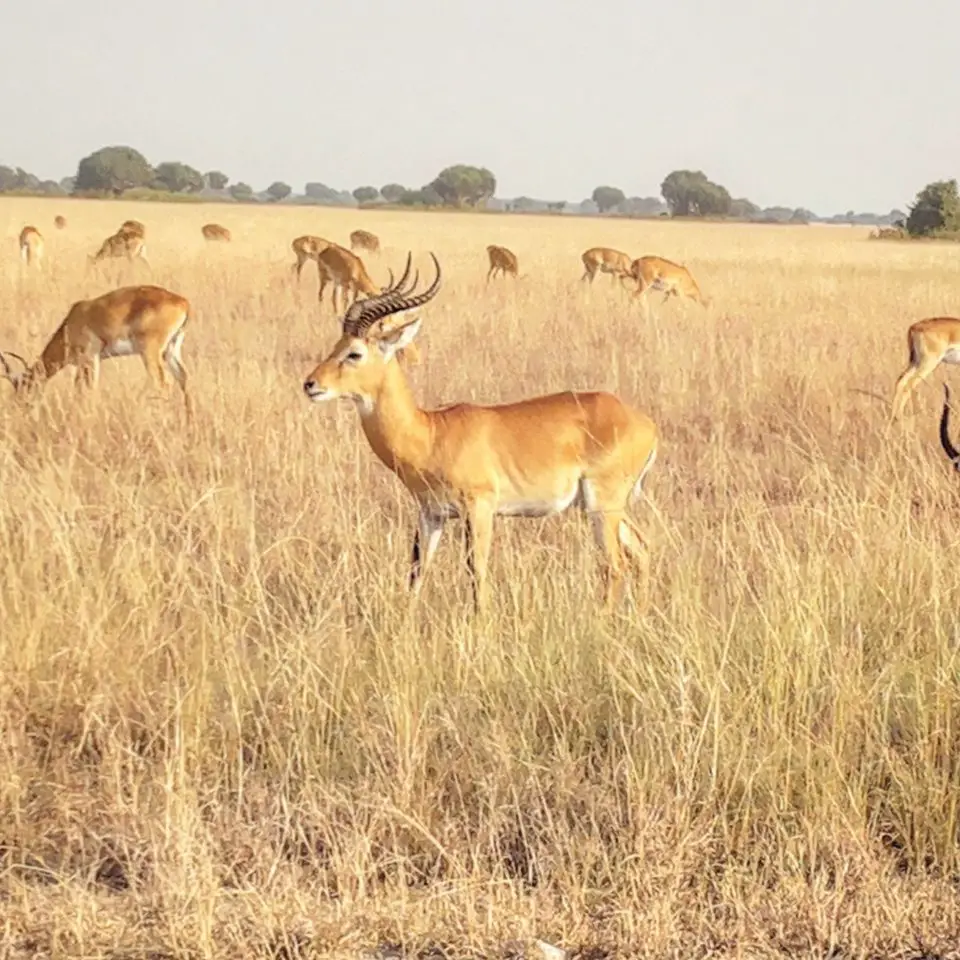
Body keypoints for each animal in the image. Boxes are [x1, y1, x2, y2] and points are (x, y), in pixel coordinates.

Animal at [0, 286, 193, 418]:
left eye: (24, 387)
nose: (20, 408)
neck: (72, 322)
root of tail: (183, 303)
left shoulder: (91, 358)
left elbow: (91, 389)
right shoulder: (82, 364)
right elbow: (78, 391)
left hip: (150, 353)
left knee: (163, 384)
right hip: (171, 351)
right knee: (184, 378)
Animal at [302, 251, 660, 612]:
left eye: (355, 353)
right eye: (336, 345)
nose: (310, 384)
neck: (431, 433)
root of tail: (646, 424)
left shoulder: (480, 507)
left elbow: (477, 569)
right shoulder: (431, 514)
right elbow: (417, 572)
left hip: (603, 504)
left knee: (615, 564)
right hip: (605, 507)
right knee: (642, 550)